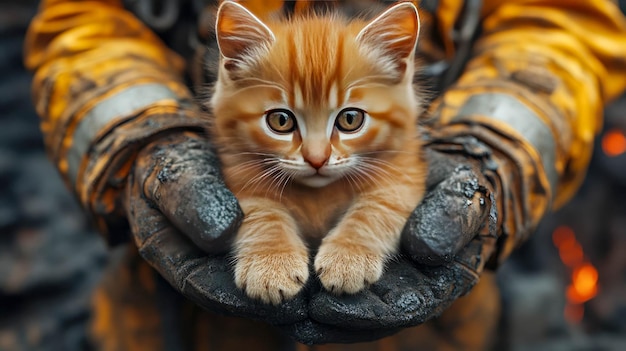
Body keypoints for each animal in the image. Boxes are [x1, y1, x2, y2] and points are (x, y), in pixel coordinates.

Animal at [208, 0, 424, 306]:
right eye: (281, 121)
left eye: (350, 119)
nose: (317, 159)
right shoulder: (238, 169)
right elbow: (262, 212)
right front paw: (271, 261)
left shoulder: (404, 172)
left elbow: (377, 208)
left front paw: (348, 257)